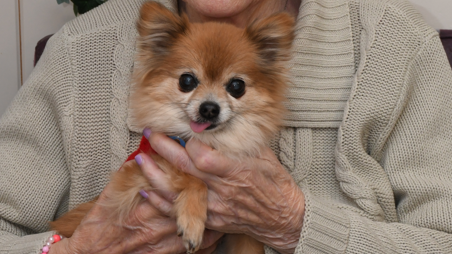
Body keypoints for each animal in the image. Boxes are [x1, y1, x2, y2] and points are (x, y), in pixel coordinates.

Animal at [51, 1, 294, 252]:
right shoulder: (135, 177)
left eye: (237, 86)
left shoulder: (243, 230)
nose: (209, 108)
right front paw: (192, 221)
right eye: (186, 81)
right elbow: (195, 180)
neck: (208, 141)